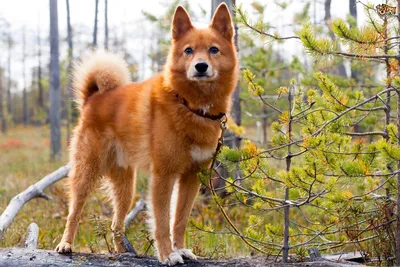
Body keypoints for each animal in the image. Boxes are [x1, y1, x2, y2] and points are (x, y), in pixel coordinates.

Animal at [55, 3, 238, 266]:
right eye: (188, 50)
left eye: (214, 50)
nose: (200, 66)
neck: (190, 105)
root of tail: (94, 97)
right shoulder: (163, 175)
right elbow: (161, 222)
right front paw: (167, 254)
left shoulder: (191, 176)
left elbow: (179, 220)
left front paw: (181, 249)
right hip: (86, 172)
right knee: (74, 212)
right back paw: (66, 244)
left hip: (126, 187)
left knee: (116, 223)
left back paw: (122, 252)